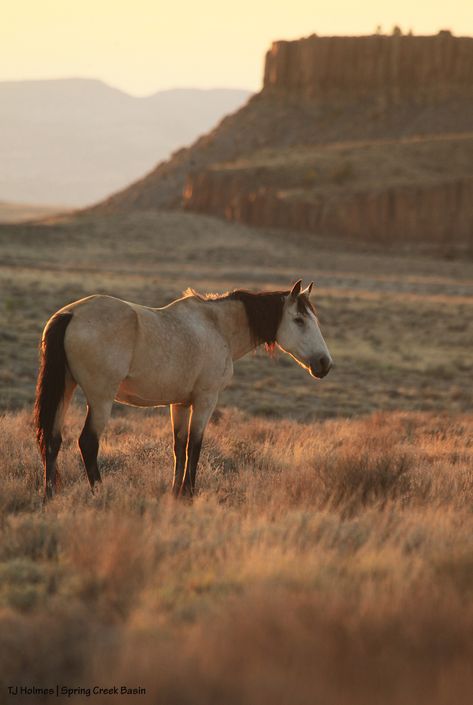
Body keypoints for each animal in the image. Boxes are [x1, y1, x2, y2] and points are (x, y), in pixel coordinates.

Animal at [34, 278, 332, 498]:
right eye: (299, 320)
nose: (324, 363)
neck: (217, 327)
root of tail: (70, 314)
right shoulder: (205, 400)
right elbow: (195, 446)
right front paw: (189, 493)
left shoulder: (179, 403)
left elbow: (179, 446)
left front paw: (175, 492)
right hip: (100, 399)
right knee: (88, 442)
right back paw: (100, 492)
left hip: (65, 389)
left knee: (52, 439)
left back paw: (50, 496)